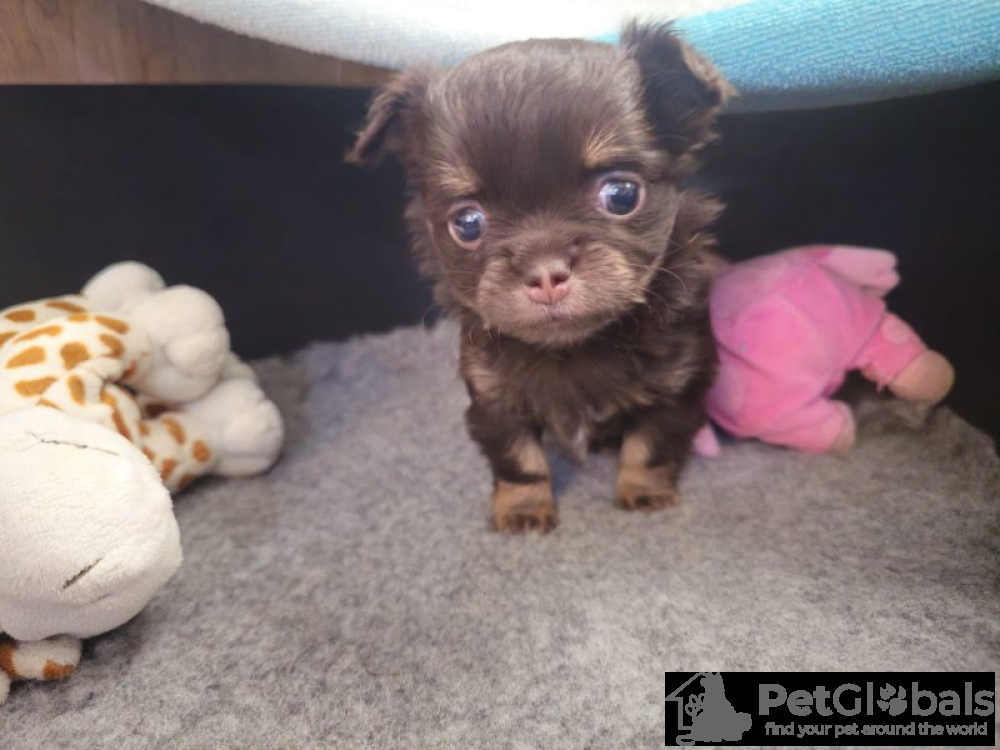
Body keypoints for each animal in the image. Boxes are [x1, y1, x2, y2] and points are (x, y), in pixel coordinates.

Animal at [348, 23, 732, 533]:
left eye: (621, 194)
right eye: (466, 224)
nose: (546, 272)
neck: (573, 348)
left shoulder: (676, 387)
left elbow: (650, 445)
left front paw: (644, 493)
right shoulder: (493, 397)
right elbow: (519, 458)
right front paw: (524, 510)